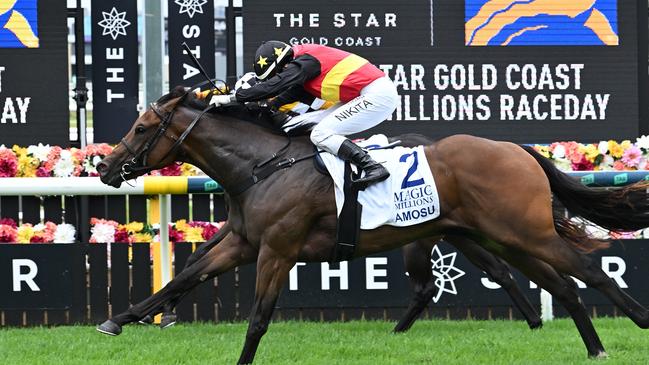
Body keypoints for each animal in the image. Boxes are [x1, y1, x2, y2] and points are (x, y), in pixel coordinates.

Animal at [95, 87, 648, 362]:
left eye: (141, 128)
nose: (105, 166)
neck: (262, 165)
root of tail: (517, 149)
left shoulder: (277, 250)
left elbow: (258, 318)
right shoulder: (244, 243)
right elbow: (184, 277)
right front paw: (119, 319)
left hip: (524, 232)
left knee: (588, 272)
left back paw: (636, 323)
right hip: (500, 236)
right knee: (563, 284)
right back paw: (595, 348)